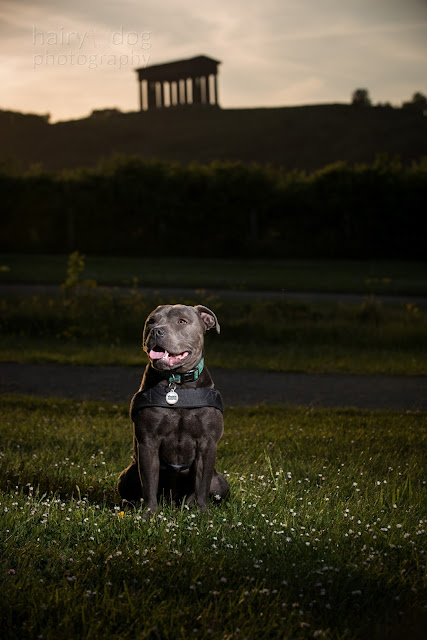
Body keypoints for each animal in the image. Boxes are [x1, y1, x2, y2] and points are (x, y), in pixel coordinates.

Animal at [117, 302, 231, 516]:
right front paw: (149, 514)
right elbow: (149, 483)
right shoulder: (148, 442)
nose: (156, 331)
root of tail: (172, 500)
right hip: (126, 475)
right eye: (151, 321)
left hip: (220, 482)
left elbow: (201, 485)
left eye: (181, 321)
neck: (176, 384)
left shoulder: (207, 443)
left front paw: (201, 514)